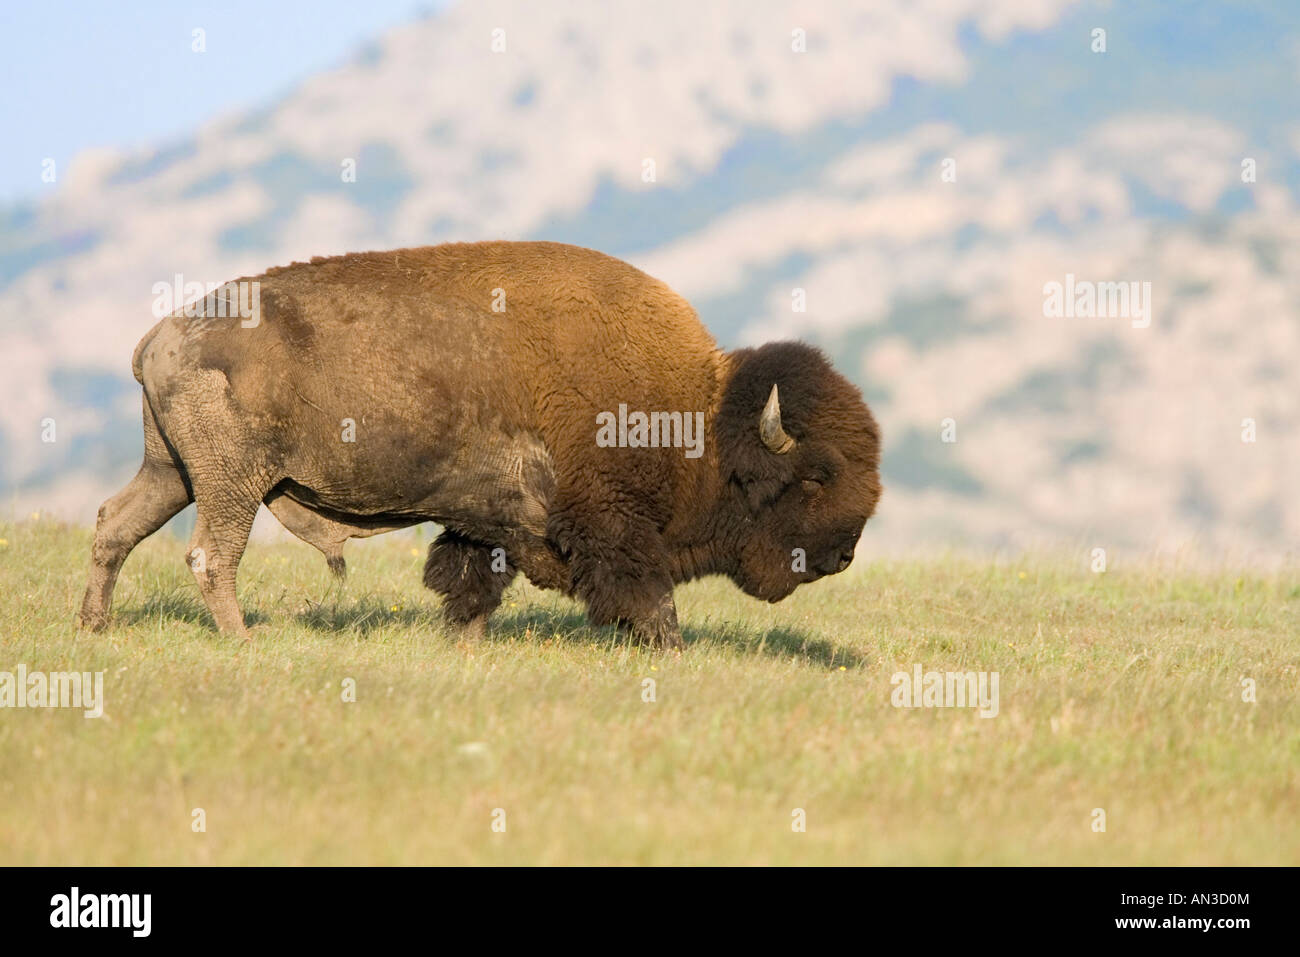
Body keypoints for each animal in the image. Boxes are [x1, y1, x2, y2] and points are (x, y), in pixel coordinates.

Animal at [79, 241, 881, 649]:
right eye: (816, 476)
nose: (844, 554)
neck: (698, 418)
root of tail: (161, 335)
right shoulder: (612, 529)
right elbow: (650, 598)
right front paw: (670, 650)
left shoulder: (484, 521)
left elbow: (469, 584)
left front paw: (463, 645)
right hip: (229, 483)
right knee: (210, 554)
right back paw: (243, 641)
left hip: (171, 471)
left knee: (115, 525)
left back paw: (94, 624)